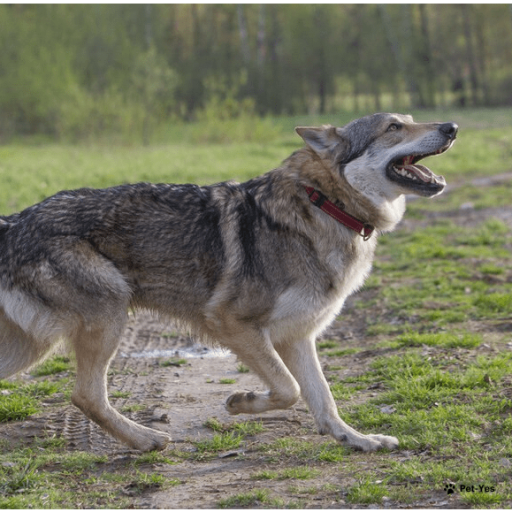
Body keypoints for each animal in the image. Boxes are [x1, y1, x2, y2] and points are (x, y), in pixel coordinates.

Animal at [0, 113, 456, 452]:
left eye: (409, 120)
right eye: (393, 127)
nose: (452, 127)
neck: (325, 204)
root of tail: (15, 220)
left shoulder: (298, 336)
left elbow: (323, 399)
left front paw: (357, 439)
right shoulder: (234, 325)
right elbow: (290, 389)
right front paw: (242, 402)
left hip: (33, 346)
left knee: (81, 395)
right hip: (105, 318)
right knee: (86, 396)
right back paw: (147, 439)